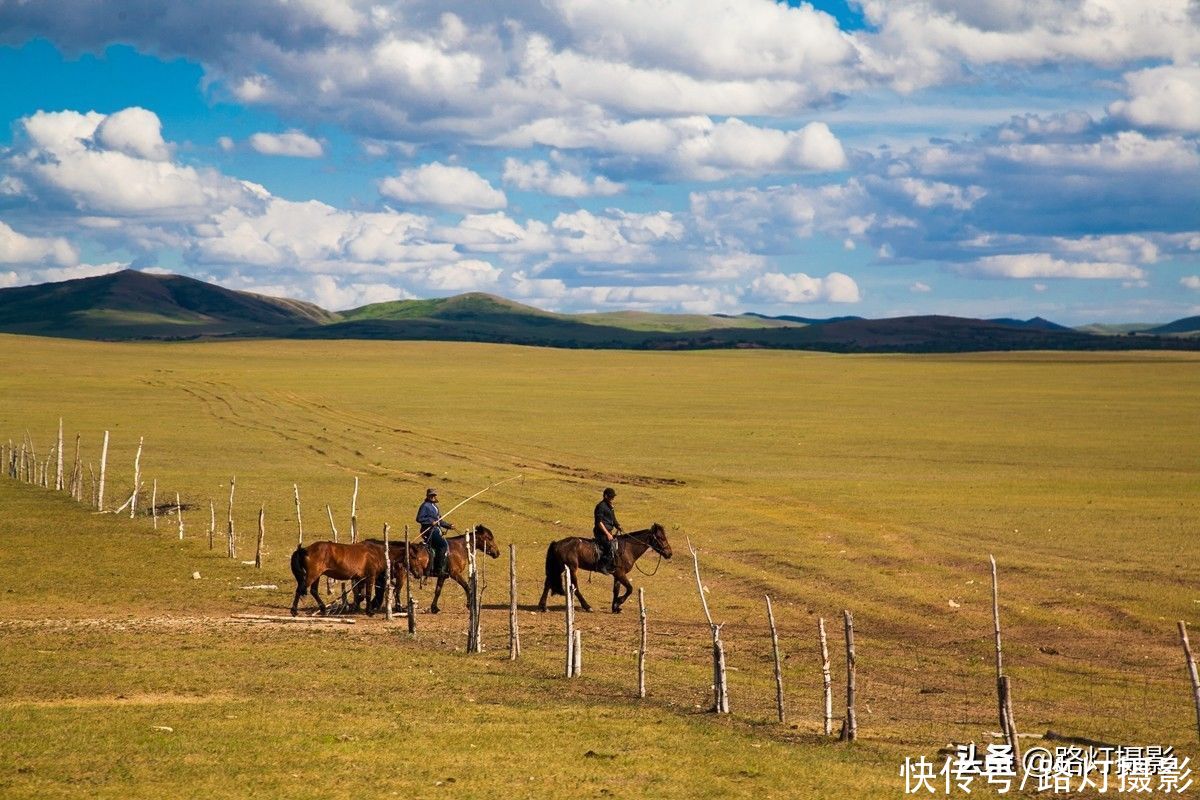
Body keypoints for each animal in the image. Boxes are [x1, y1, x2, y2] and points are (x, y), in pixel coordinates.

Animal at [364, 525, 496, 614]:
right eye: (489, 538)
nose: (497, 553)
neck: (460, 548)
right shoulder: (455, 574)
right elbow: (467, 587)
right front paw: (469, 605)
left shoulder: (443, 575)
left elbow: (438, 591)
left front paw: (434, 608)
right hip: (401, 576)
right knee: (396, 591)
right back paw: (399, 608)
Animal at [537, 525, 672, 614]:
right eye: (661, 537)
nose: (669, 553)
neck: (628, 548)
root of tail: (557, 543)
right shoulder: (620, 573)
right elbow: (629, 589)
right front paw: (619, 602)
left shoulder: (617, 575)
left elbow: (616, 590)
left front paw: (615, 607)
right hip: (571, 569)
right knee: (575, 588)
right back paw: (587, 606)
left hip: (559, 568)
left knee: (548, 583)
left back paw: (543, 606)